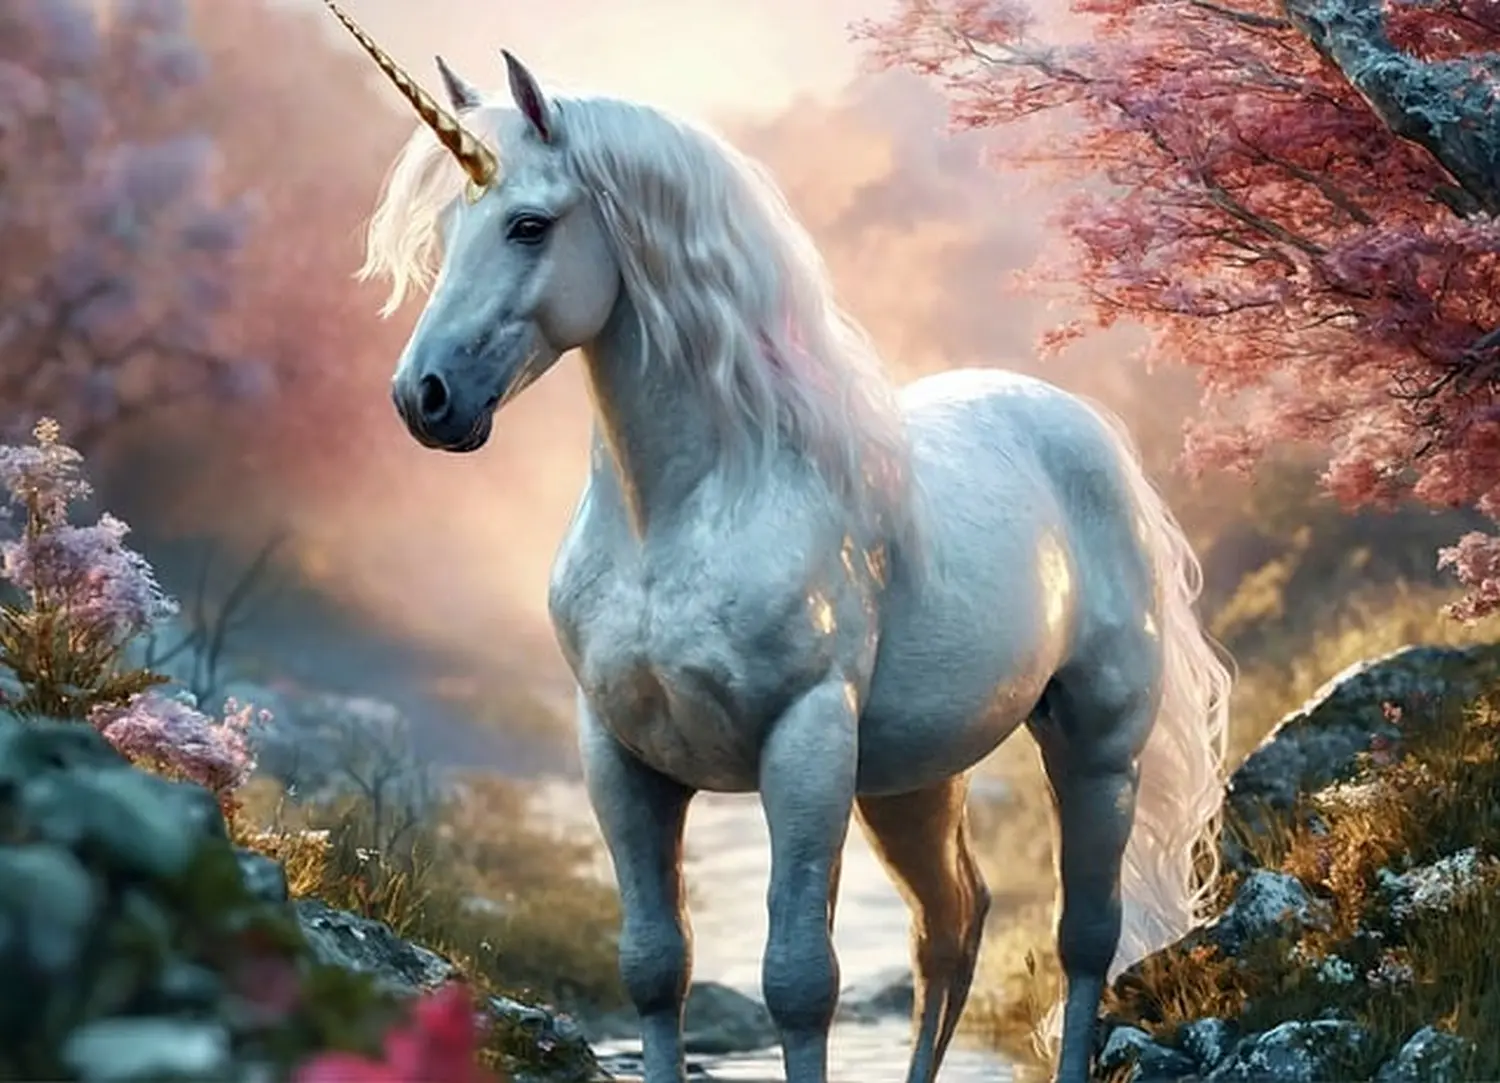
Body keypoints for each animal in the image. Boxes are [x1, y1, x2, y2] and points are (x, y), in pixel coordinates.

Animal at [323, 5, 1231, 1081]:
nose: (423, 397)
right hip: (912, 777)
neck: (685, 512)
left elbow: (798, 979)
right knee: (950, 927)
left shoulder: (803, 744)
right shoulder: (618, 756)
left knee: (1084, 935)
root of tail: (1090, 435)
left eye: (530, 224)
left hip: (1095, 746)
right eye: (447, 230)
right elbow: (653, 967)